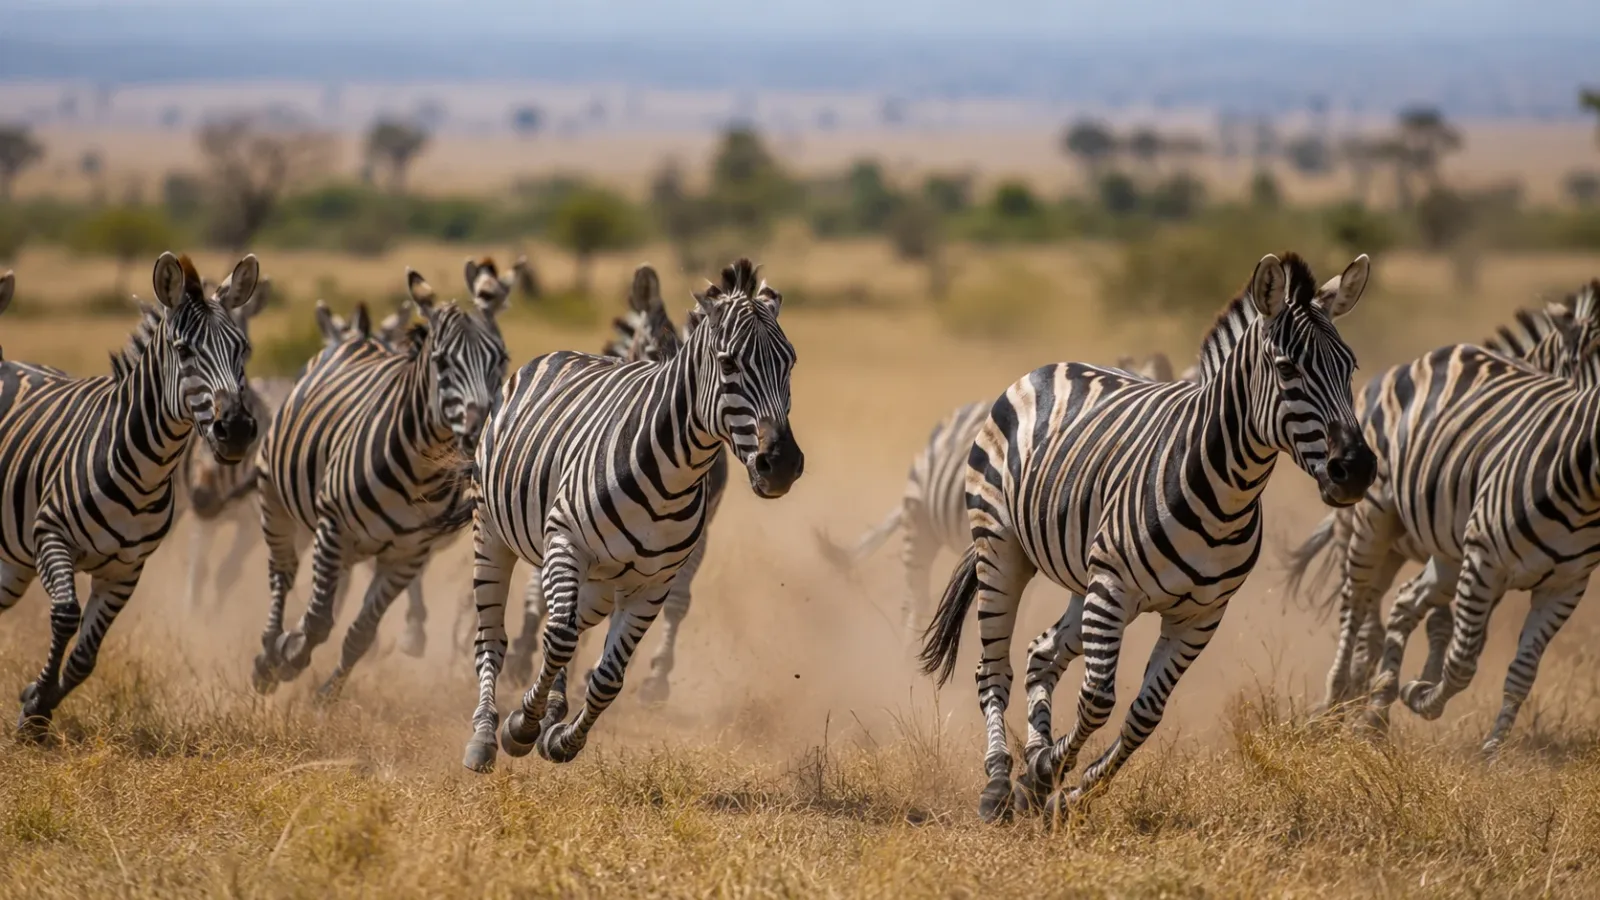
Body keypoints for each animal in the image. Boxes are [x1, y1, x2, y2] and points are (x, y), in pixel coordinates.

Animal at [0, 252, 258, 738]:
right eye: (184, 351)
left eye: (243, 350)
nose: (235, 430)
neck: (145, 469)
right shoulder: (50, 535)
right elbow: (66, 615)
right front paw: (34, 713)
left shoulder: (126, 569)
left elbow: (85, 658)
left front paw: (36, 706)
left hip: (12, 563)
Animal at [250, 260, 510, 700]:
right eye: (442, 362)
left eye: (502, 360)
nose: (480, 432)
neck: (421, 474)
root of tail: (358, 340)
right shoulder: (333, 525)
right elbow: (319, 620)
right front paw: (287, 657)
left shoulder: (407, 556)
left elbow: (361, 632)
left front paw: (326, 697)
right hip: (275, 497)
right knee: (281, 574)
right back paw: (268, 652)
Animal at [920, 252, 1376, 821]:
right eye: (1287, 368)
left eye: (1350, 367)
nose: (1356, 470)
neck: (1226, 493)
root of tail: (1050, 367)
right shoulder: (1115, 589)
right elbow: (1098, 700)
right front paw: (1044, 773)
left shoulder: (1199, 616)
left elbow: (1145, 715)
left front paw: (1067, 789)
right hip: (1002, 549)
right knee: (993, 668)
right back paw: (999, 783)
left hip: (1085, 582)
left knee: (1041, 653)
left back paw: (1029, 767)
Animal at [1285, 282, 1600, 753]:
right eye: (1584, 358)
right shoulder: (1478, 558)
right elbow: (1456, 647)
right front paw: (1414, 692)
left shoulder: (1558, 584)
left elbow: (1508, 663)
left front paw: (1489, 749)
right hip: (1366, 526)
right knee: (1358, 608)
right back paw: (1341, 701)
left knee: (1392, 608)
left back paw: (1369, 706)